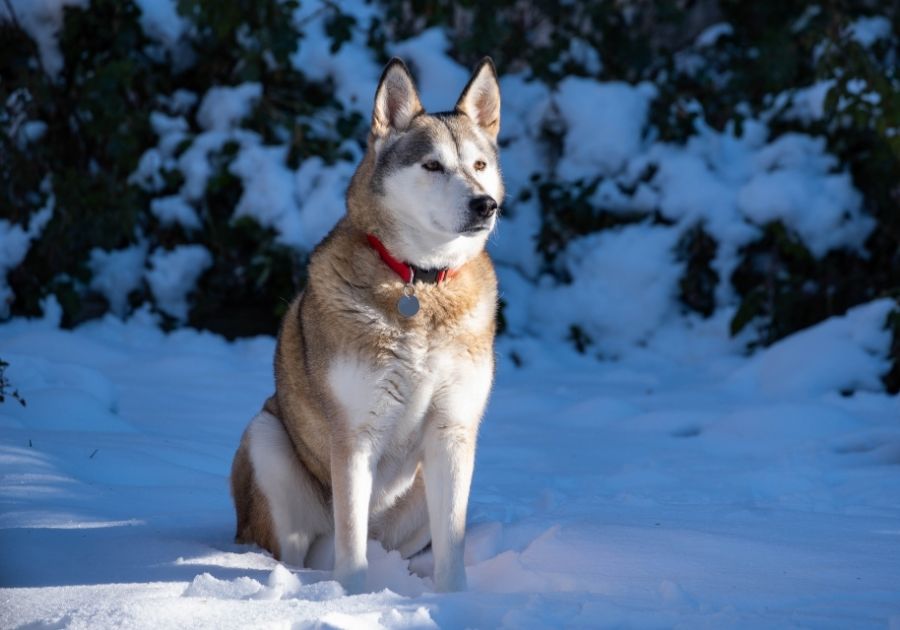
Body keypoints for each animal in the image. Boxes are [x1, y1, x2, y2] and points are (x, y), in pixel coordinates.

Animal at [229, 56, 502, 596]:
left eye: (479, 166)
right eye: (432, 165)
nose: (485, 204)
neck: (420, 283)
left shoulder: (453, 431)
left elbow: (453, 541)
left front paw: (454, 601)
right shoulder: (354, 434)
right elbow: (350, 541)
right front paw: (352, 599)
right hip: (266, 442)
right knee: (299, 547)